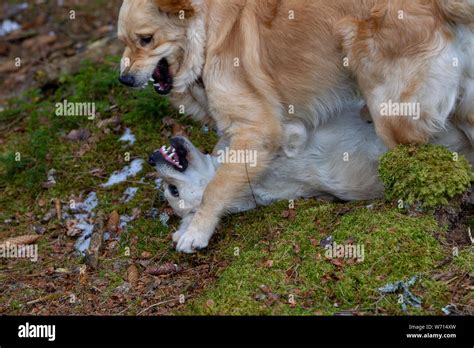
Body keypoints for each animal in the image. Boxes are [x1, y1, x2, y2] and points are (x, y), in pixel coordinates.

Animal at [116, 1, 472, 254]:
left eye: (145, 40)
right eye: (123, 42)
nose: (124, 79)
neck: (207, 39)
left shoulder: (263, 131)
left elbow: (216, 187)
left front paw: (196, 231)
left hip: (388, 107)